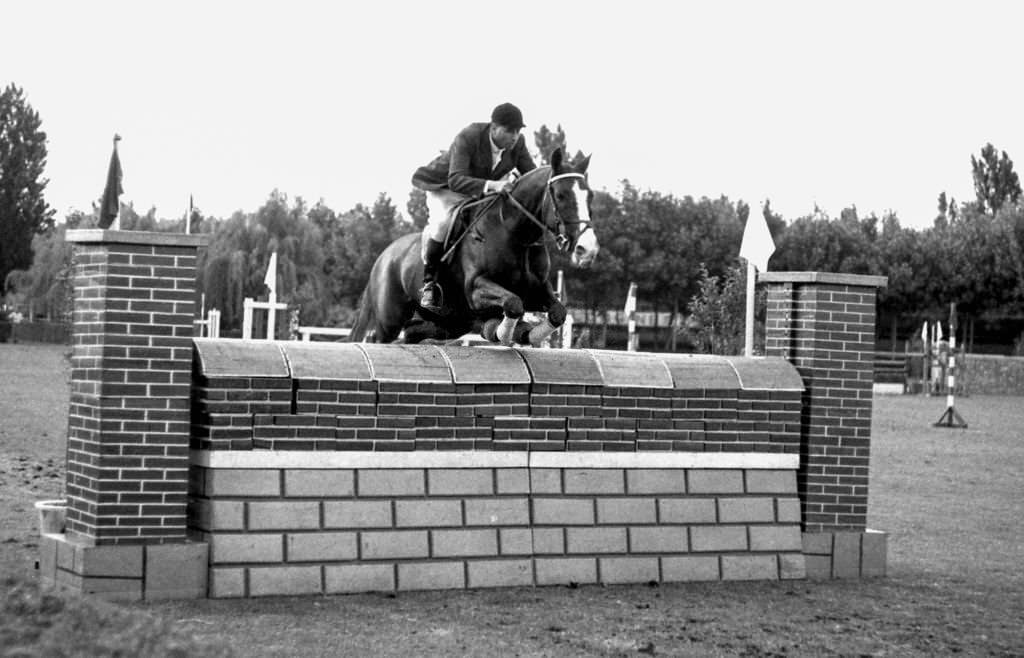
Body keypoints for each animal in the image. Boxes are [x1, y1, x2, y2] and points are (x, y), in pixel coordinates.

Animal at [348, 148, 598, 345]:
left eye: (590, 197)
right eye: (561, 195)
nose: (588, 249)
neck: (515, 234)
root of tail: (383, 256)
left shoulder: (538, 290)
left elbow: (558, 313)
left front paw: (525, 333)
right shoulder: (476, 288)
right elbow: (513, 304)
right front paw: (506, 332)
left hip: (451, 321)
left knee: (414, 333)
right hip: (390, 319)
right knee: (379, 338)